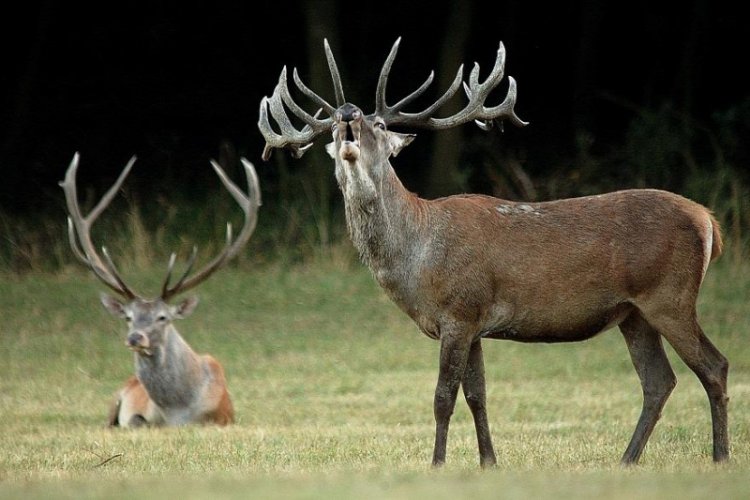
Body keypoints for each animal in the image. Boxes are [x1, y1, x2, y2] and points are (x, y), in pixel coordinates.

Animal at [60, 154, 262, 428]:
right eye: (128, 317)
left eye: (162, 317)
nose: (136, 338)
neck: (177, 411)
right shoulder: (141, 415)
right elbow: (138, 421)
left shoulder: (223, 417)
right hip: (116, 397)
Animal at [258, 38, 728, 464]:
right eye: (333, 129)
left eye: (379, 126)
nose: (347, 113)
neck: (416, 258)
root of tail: (709, 221)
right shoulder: (474, 320)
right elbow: (477, 395)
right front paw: (489, 461)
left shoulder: (459, 310)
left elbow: (443, 396)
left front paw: (437, 463)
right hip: (634, 313)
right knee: (659, 381)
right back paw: (627, 459)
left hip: (670, 295)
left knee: (713, 365)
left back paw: (720, 456)